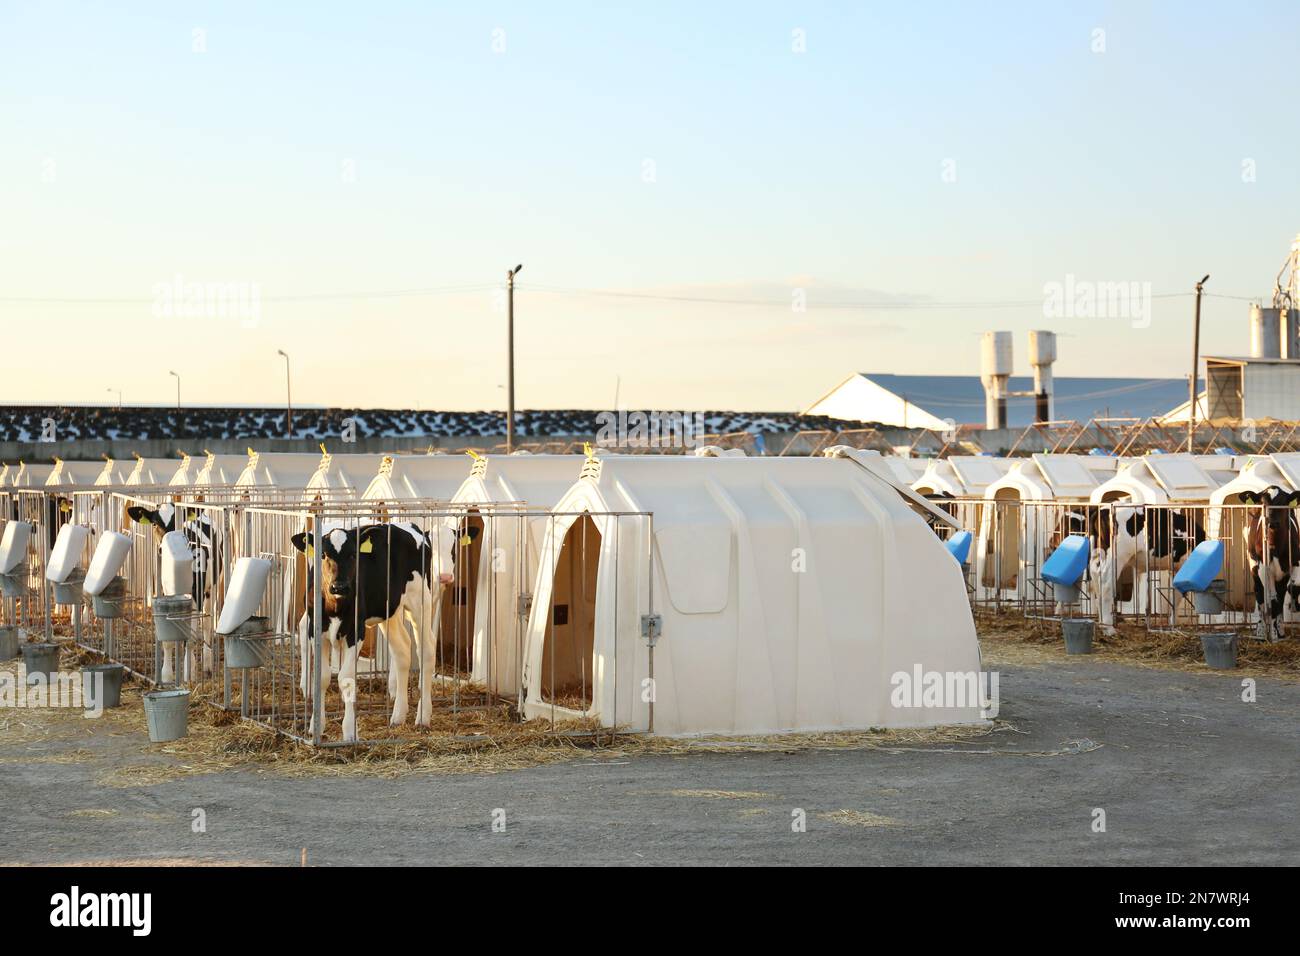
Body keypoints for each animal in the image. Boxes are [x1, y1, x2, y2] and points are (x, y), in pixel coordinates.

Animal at [289, 522, 478, 738]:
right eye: (323, 554)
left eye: (353, 555)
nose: (339, 586)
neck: (334, 605)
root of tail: (411, 527)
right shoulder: (316, 630)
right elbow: (321, 678)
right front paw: (316, 726)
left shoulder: (355, 631)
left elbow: (346, 679)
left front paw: (350, 731)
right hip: (391, 611)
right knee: (403, 650)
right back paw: (398, 715)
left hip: (420, 602)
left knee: (427, 649)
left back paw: (423, 717)